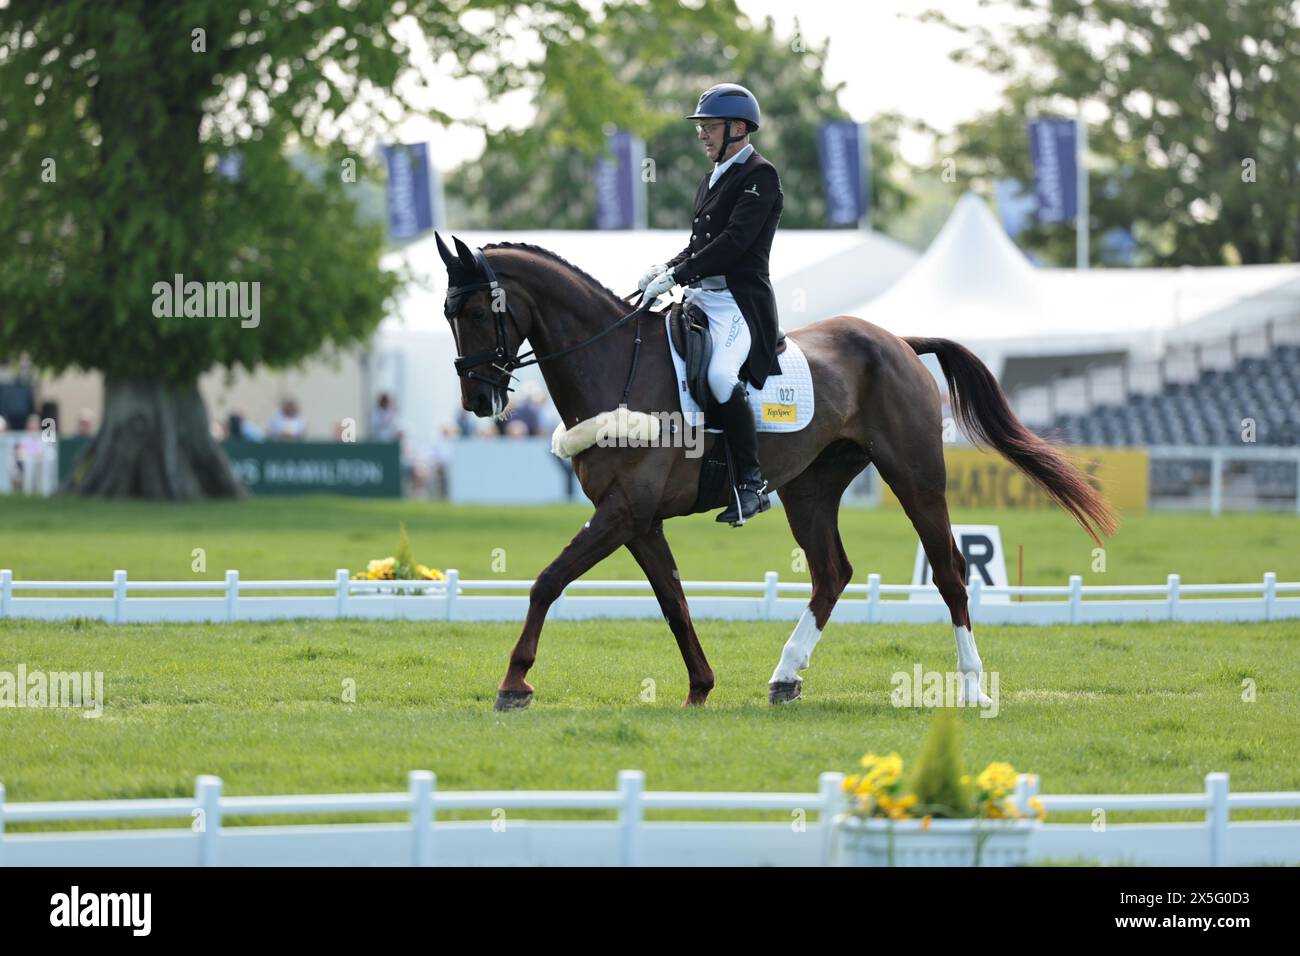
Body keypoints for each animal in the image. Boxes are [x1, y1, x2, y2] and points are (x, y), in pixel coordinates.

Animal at [436, 231, 1118, 712]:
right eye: (449, 314)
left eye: (478, 312)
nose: (477, 400)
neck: (616, 363)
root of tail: (898, 340)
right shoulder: (638, 519)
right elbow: (673, 600)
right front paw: (700, 686)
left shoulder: (624, 511)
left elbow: (547, 581)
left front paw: (514, 683)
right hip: (810, 488)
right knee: (831, 573)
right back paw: (786, 675)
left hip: (915, 476)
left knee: (949, 570)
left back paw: (972, 686)